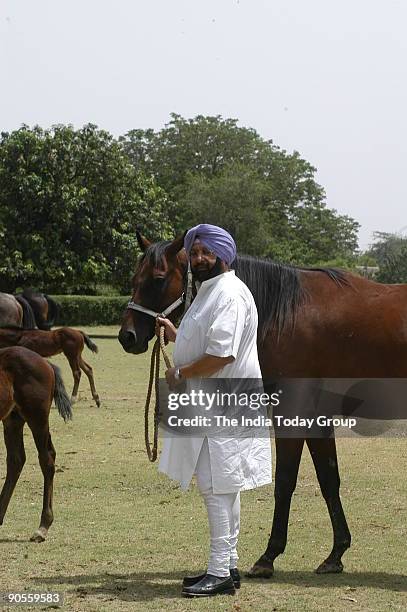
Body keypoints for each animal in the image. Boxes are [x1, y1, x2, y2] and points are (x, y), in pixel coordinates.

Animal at [0, 346, 71, 544]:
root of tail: (45, 362)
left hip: (36, 416)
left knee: (46, 460)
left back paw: (42, 527)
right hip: (13, 419)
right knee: (16, 460)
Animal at [119, 231, 407, 580]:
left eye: (158, 278)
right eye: (135, 278)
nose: (127, 336)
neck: (288, 313)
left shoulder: (292, 413)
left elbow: (284, 481)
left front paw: (269, 556)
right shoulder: (317, 416)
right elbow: (329, 480)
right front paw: (336, 554)